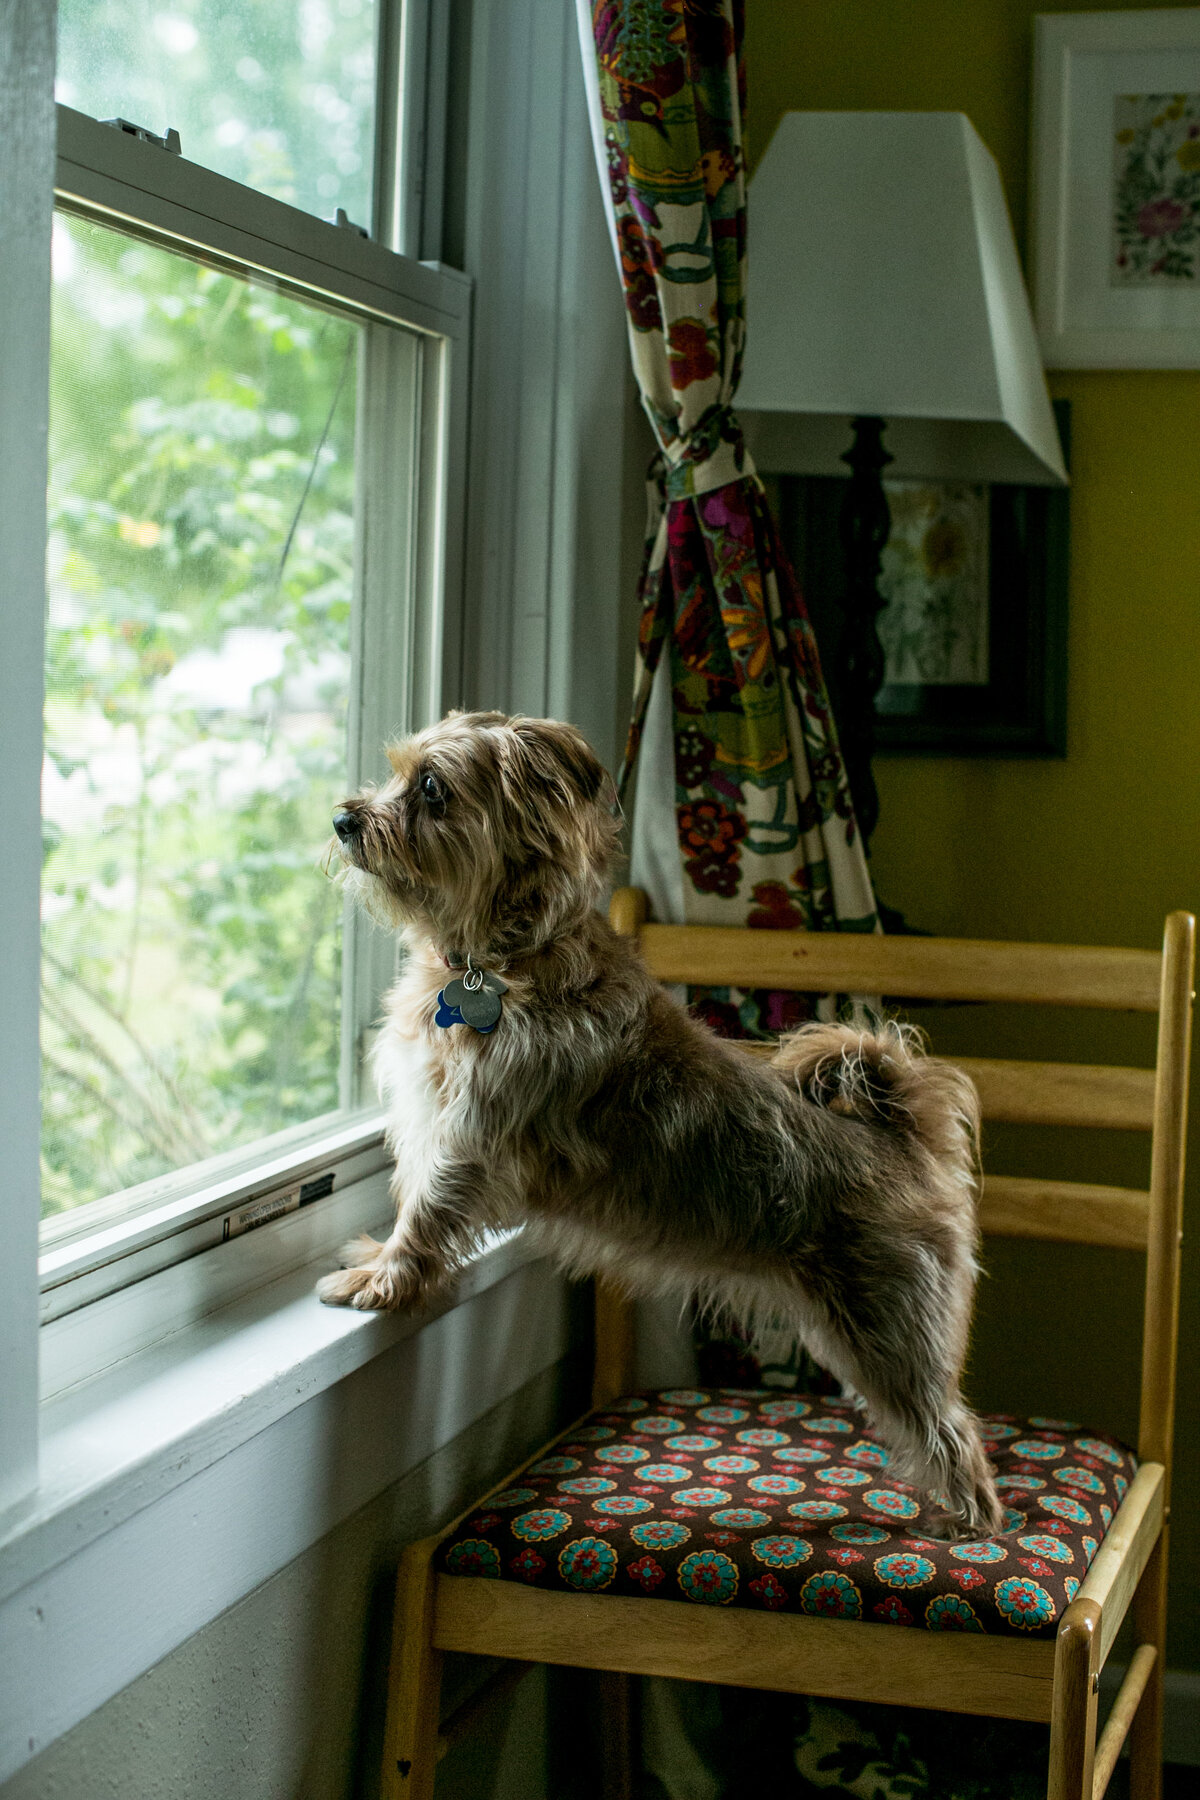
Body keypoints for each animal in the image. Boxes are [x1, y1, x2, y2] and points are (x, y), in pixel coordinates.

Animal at [318, 709, 1007, 1540]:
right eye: (397, 773)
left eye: (431, 789)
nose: (344, 819)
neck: (503, 957)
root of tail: (900, 1138)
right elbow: (409, 1199)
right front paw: (377, 1256)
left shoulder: (471, 1138)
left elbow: (423, 1215)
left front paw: (385, 1278)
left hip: (891, 1332)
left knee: (953, 1434)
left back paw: (969, 1526)